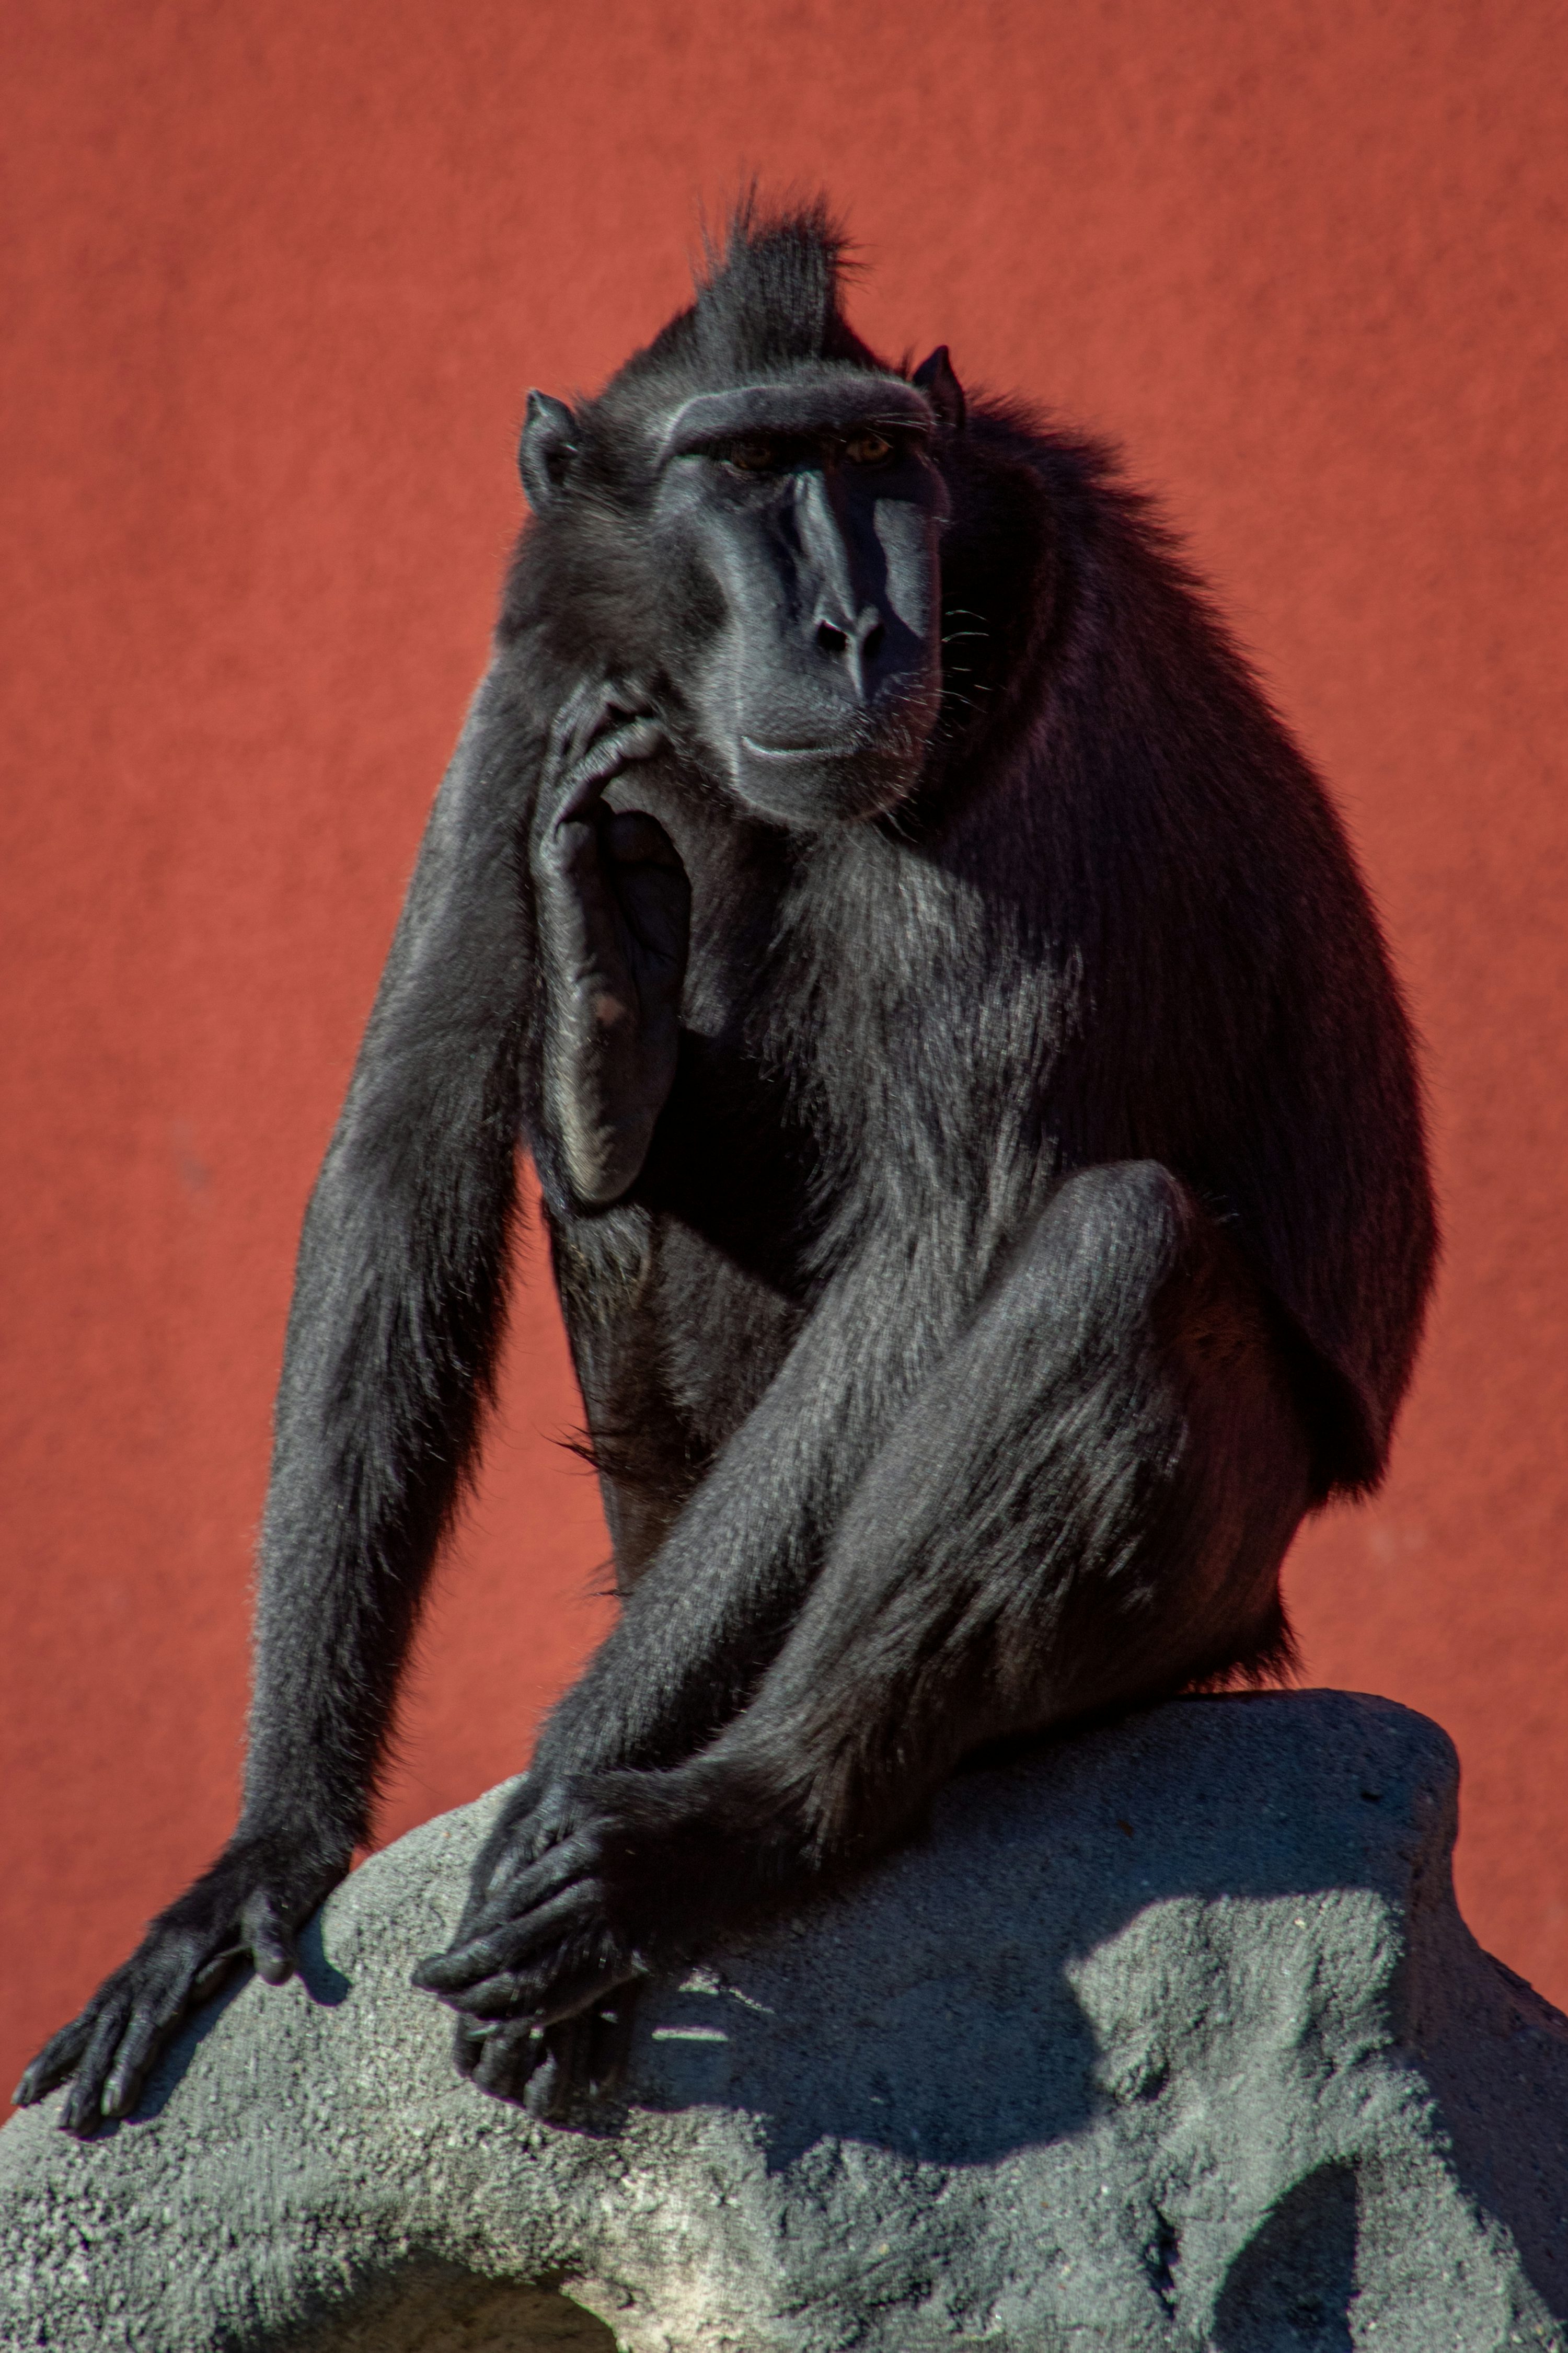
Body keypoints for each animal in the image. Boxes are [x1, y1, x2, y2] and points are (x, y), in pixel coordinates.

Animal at [18, 200, 1436, 2135]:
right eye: (747, 469)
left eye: (871, 460)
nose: (857, 627)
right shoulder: (539, 668)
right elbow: (405, 1139)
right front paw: (270, 1843)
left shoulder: (1040, 688)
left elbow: (942, 1254)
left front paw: (565, 1799)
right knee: (600, 1153)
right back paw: (606, 1030)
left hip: (1219, 1591)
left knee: (1111, 1249)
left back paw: (722, 1830)